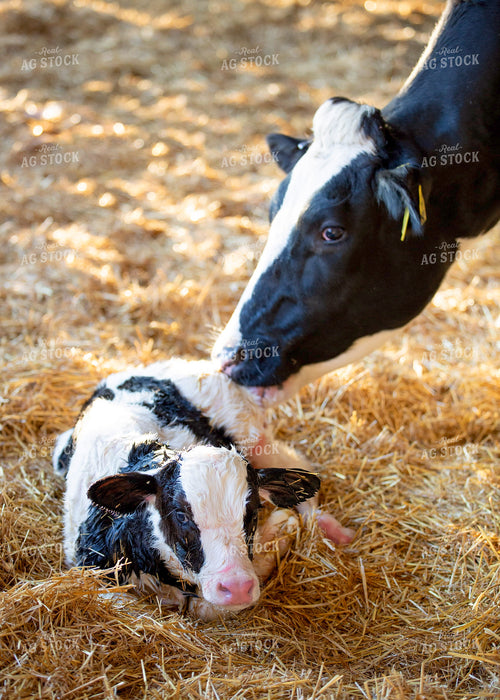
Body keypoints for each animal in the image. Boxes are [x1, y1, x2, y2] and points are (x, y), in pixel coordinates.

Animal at [53, 359, 352, 619]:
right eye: (181, 515)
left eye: (253, 512)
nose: (237, 587)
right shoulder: (91, 573)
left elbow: (207, 606)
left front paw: (282, 527)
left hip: (251, 433)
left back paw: (332, 529)